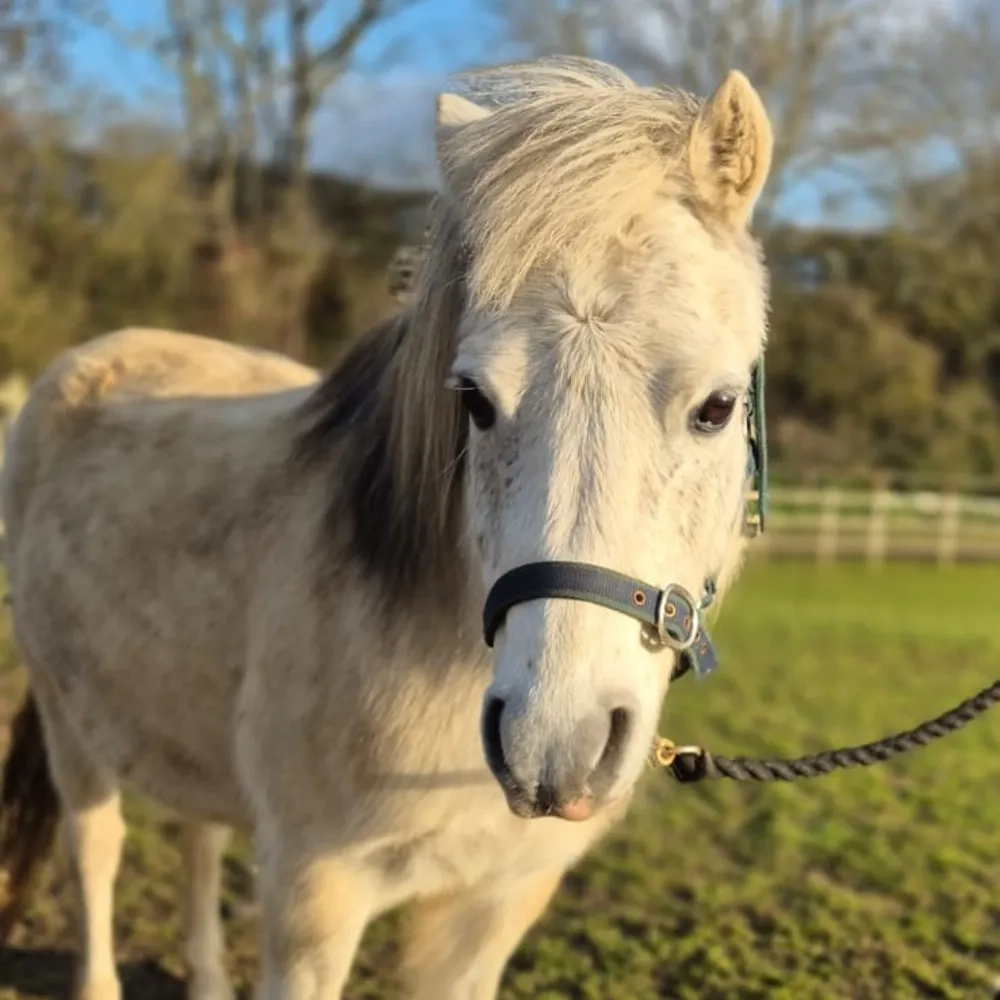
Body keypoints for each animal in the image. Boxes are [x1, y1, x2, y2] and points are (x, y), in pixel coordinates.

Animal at [0, 55, 773, 1000]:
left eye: (717, 406)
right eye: (473, 398)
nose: (556, 744)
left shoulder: (496, 902)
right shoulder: (313, 893)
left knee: (197, 839)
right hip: (70, 727)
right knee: (96, 853)